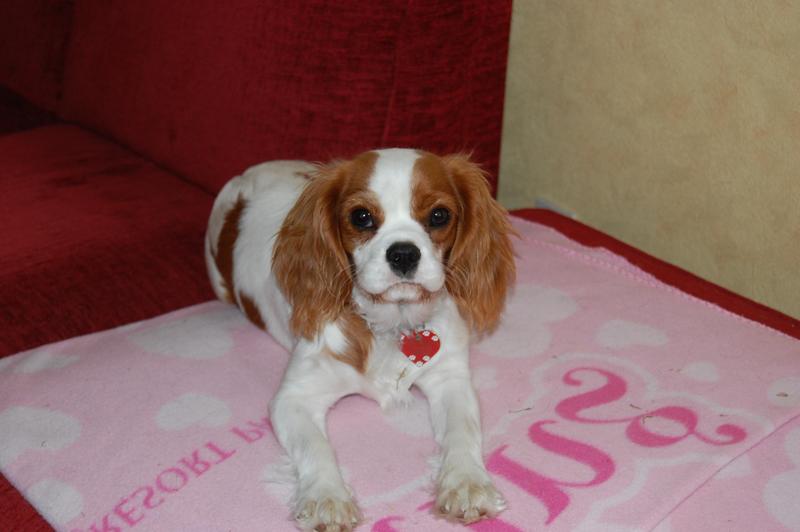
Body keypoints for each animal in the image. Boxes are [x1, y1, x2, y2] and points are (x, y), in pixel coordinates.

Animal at [205, 149, 515, 530]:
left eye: (439, 215)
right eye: (361, 217)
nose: (403, 253)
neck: (391, 324)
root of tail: (250, 173)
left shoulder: (451, 379)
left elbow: (463, 430)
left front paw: (467, 483)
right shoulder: (293, 399)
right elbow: (316, 447)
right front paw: (326, 498)